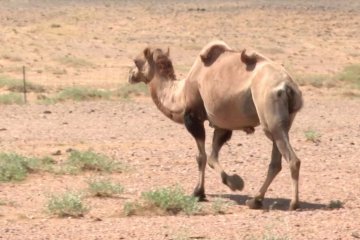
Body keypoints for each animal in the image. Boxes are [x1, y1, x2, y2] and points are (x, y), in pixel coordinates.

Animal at [128, 39, 302, 210]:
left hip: (269, 113)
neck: (180, 95)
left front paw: (200, 192)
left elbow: (201, 156)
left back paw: (293, 203)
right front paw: (233, 182)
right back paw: (256, 200)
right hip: (283, 121)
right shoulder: (221, 125)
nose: (130, 75)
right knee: (276, 162)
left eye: (136, 61)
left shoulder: (193, 118)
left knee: (292, 159)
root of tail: (288, 86)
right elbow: (212, 157)